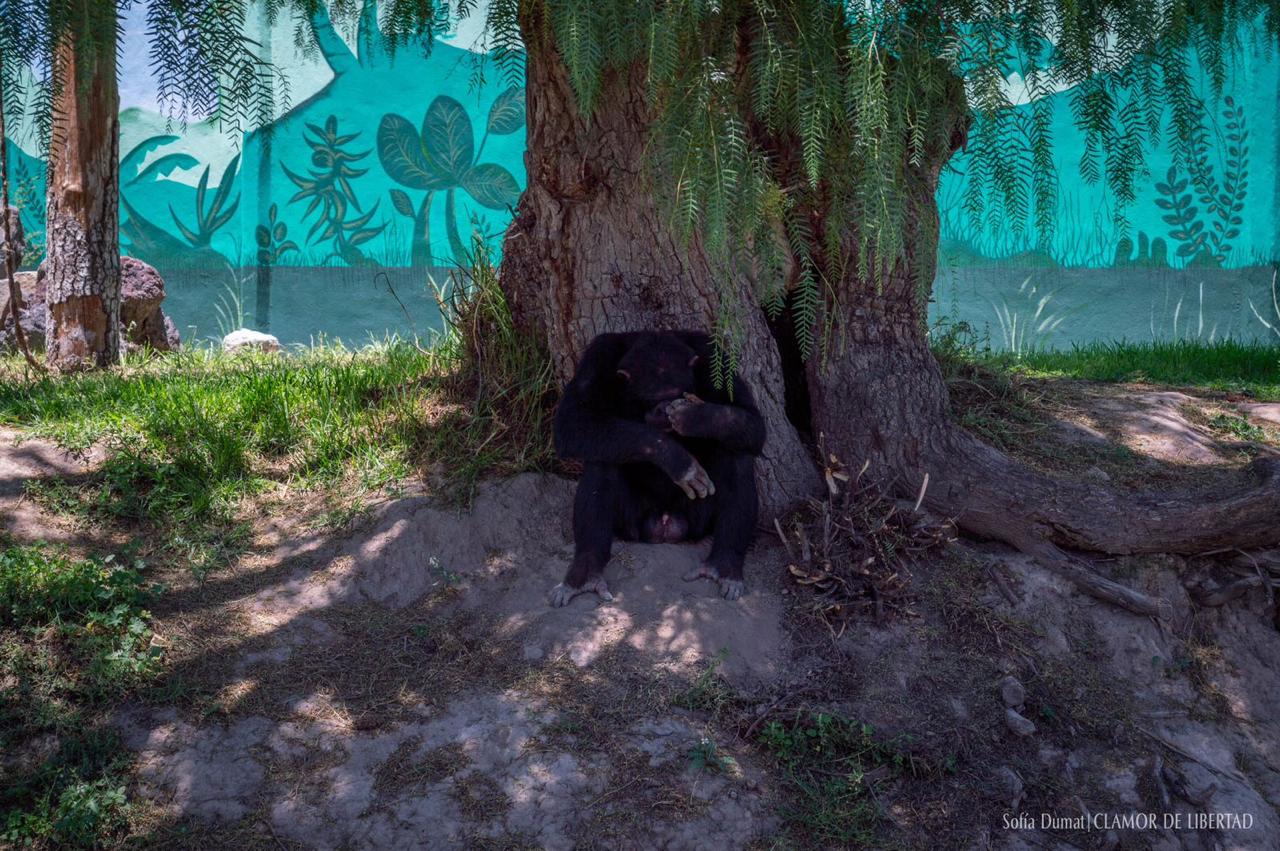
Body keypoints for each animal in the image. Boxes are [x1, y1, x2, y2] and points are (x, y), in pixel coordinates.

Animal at [547, 330, 762, 604]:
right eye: (651, 399)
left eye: (676, 392)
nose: (663, 408)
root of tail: (665, 523)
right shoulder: (597, 356)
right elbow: (573, 421)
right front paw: (675, 458)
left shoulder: (712, 353)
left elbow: (753, 421)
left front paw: (696, 416)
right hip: (632, 523)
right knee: (600, 462)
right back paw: (584, 574)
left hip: (697, 520)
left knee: (736, 454)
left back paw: (724, 565)